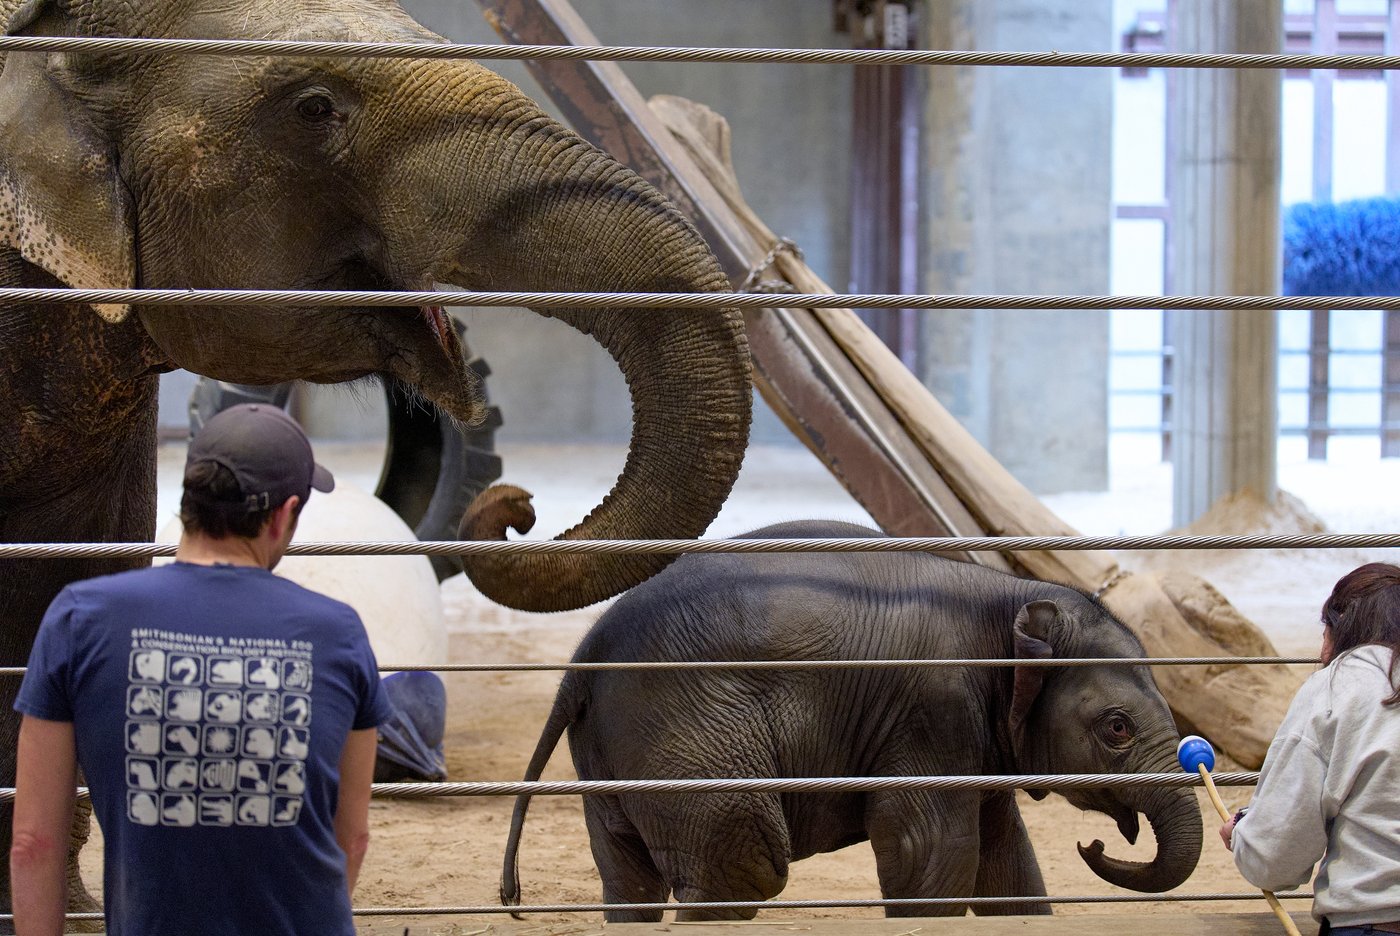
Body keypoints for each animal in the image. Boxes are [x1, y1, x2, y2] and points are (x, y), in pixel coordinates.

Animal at [501, 520, 1204, 922]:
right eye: (1117, 728)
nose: (1094, 846)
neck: (1006, 601)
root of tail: (583, 656)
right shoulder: (932, 711)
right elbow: (929, 850)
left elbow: (1006, 860)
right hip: (686, 732)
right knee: (741, 867)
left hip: (612, 755)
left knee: (631, 880)